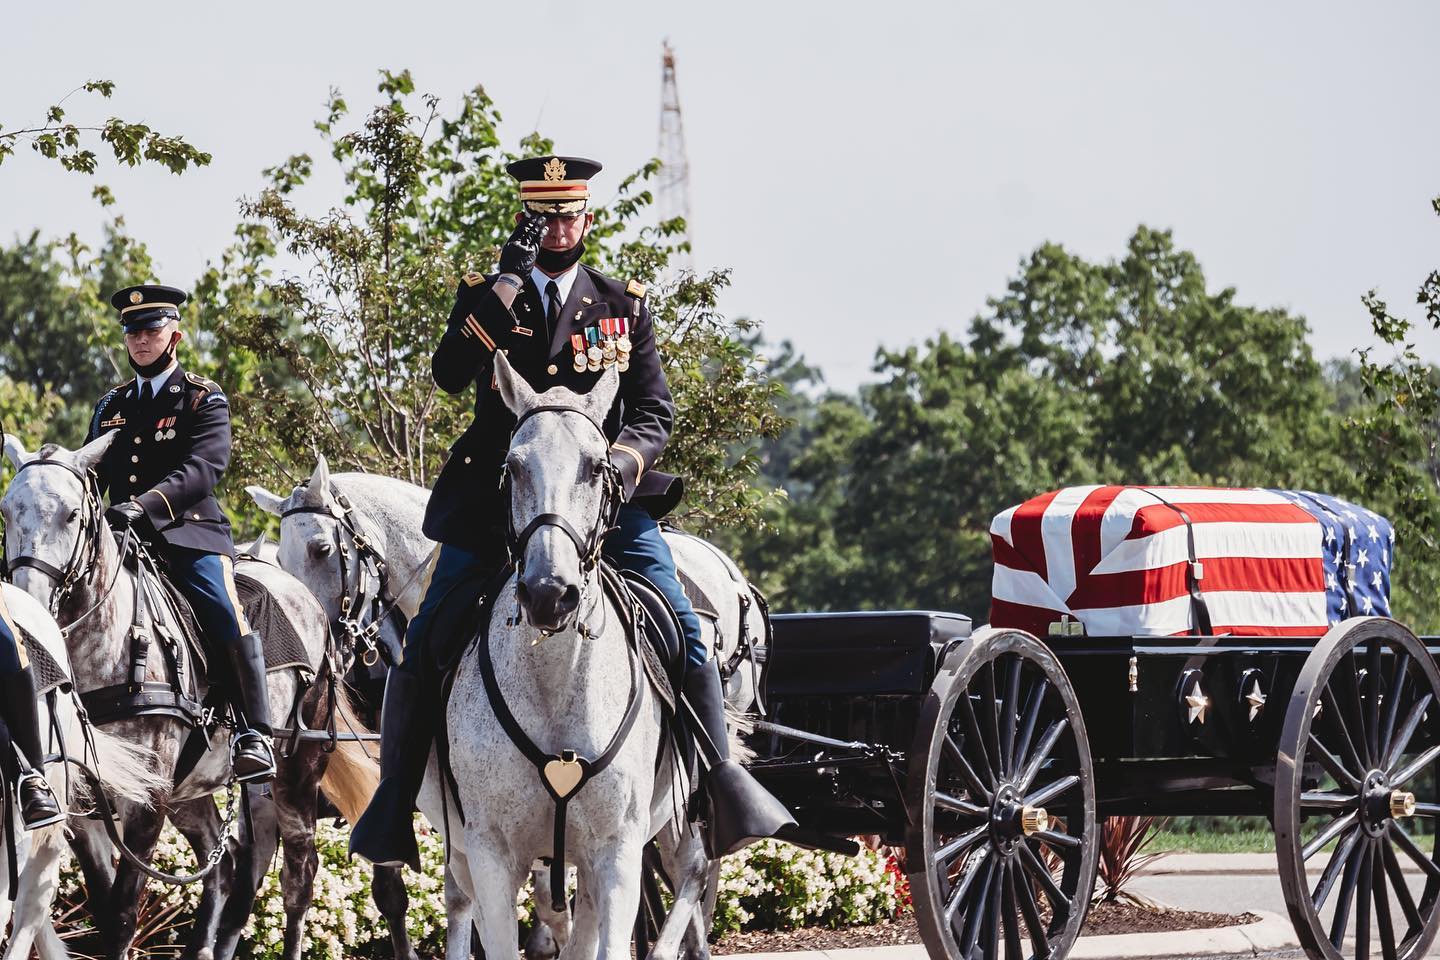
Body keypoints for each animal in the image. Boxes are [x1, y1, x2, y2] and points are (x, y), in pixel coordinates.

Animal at [0, 437, 380, 960]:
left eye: (72, 514)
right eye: (6, 511)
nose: (29, 604)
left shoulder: (147, 801)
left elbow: (122, 914)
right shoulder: (85, 807)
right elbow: (102, 905)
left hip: (296, 773)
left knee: (298, 877)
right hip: (191, 791)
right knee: (225, 864)